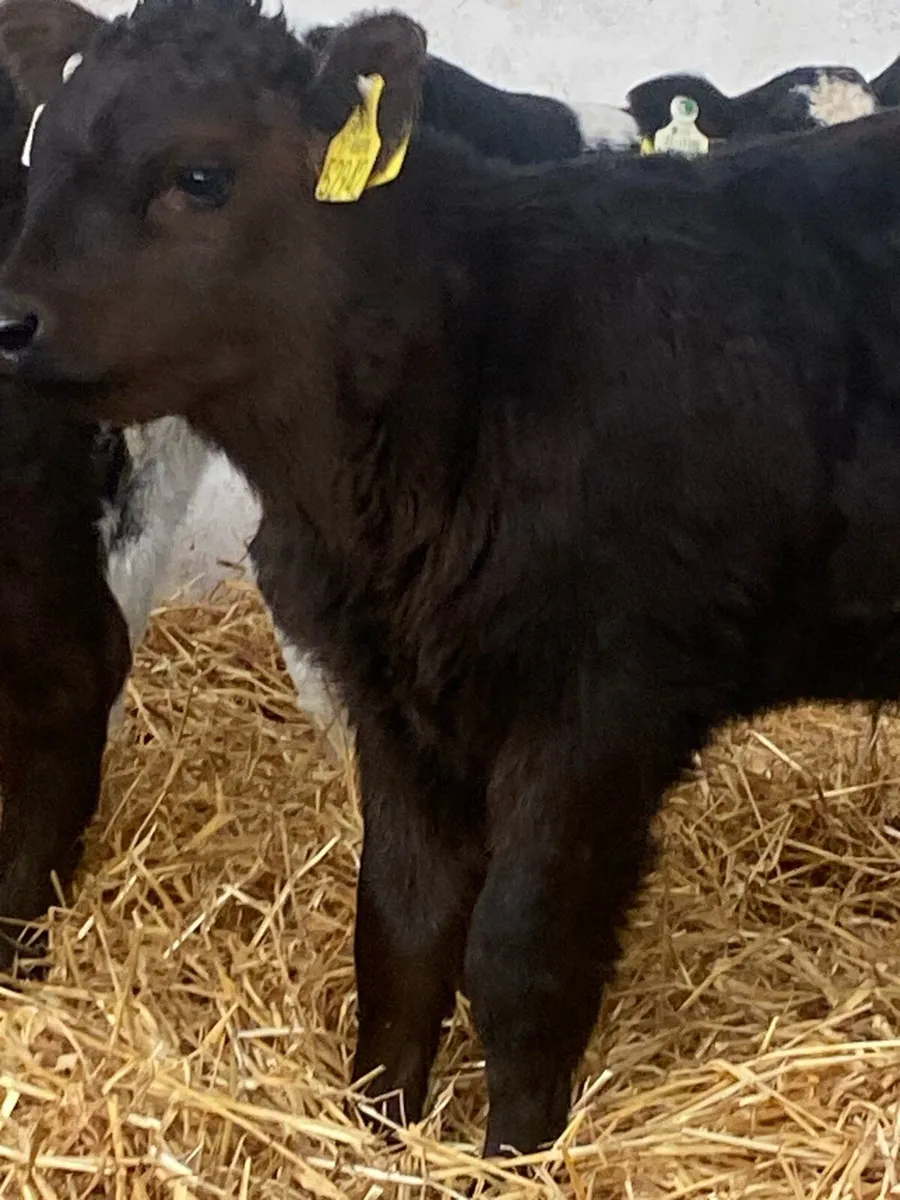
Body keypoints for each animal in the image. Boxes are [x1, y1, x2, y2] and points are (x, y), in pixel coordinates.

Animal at [10, 0, 900, 1160]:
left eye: (199, 176)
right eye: (41, 155)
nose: (8, 321)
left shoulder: (606, 705)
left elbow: (521, 954)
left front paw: (516, 1157)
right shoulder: (394, 696)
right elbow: (401, 933)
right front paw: (380, 1136)